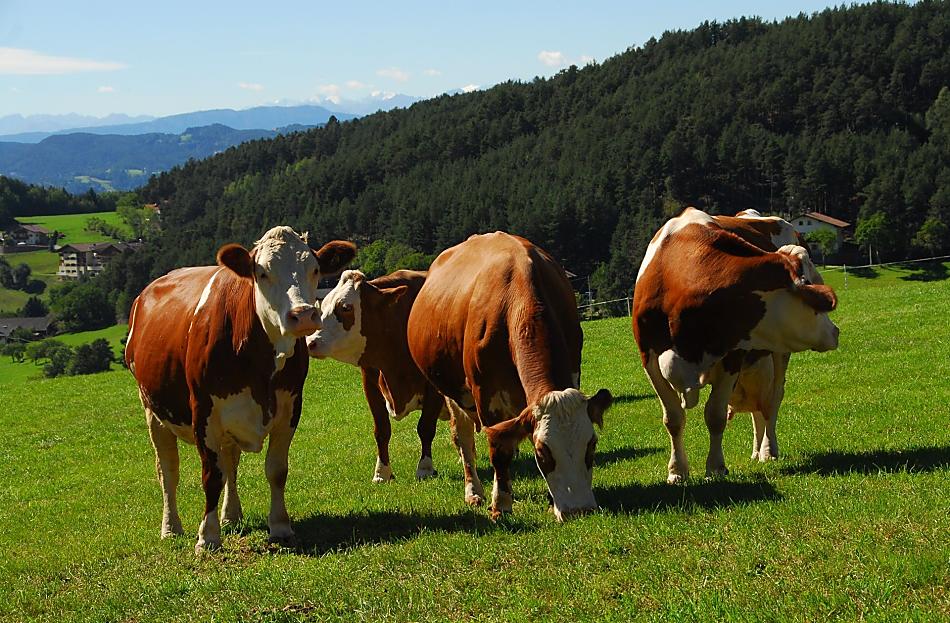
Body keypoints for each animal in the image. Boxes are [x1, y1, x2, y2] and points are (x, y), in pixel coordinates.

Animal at [125, 226, 356, 552]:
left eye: (315, 269)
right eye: (262, 273)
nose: (303, 314)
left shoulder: (290, 408)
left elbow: (276, 470)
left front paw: (280, 527)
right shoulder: (203, 413)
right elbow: (210, 476)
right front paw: (207, 537)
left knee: (230, 463)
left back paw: (231, 516)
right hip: (152, 410)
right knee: (168, 470)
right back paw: (171, 528)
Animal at [306, 269, 448, 483]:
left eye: (346, 307)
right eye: (322, 306)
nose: (311, 342)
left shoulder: (434, 387)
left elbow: (426, 427)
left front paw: (425, 469)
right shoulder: (370, 384)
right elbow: (382, 430)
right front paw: (382, 472)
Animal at [406, 232, 613, 521]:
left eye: (591, 445)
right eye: (542, 452)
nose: (579, 511)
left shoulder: (573, 372)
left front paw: (551, 501)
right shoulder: (485, 394)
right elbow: (498, 450)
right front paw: (501, 503)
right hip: (452, 392)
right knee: (464, 441)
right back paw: (474, 491)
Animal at [632, 208, 839, 484]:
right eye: (811, 292)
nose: (835, 331)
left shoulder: (732, 356)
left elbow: (715, 416)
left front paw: (716, 468)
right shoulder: (649, 360)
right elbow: (673, 418)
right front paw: (677, 472)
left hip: (778, 354)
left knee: (772, 400)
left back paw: (768, 450)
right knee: (758, 407)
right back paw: (756, 450)